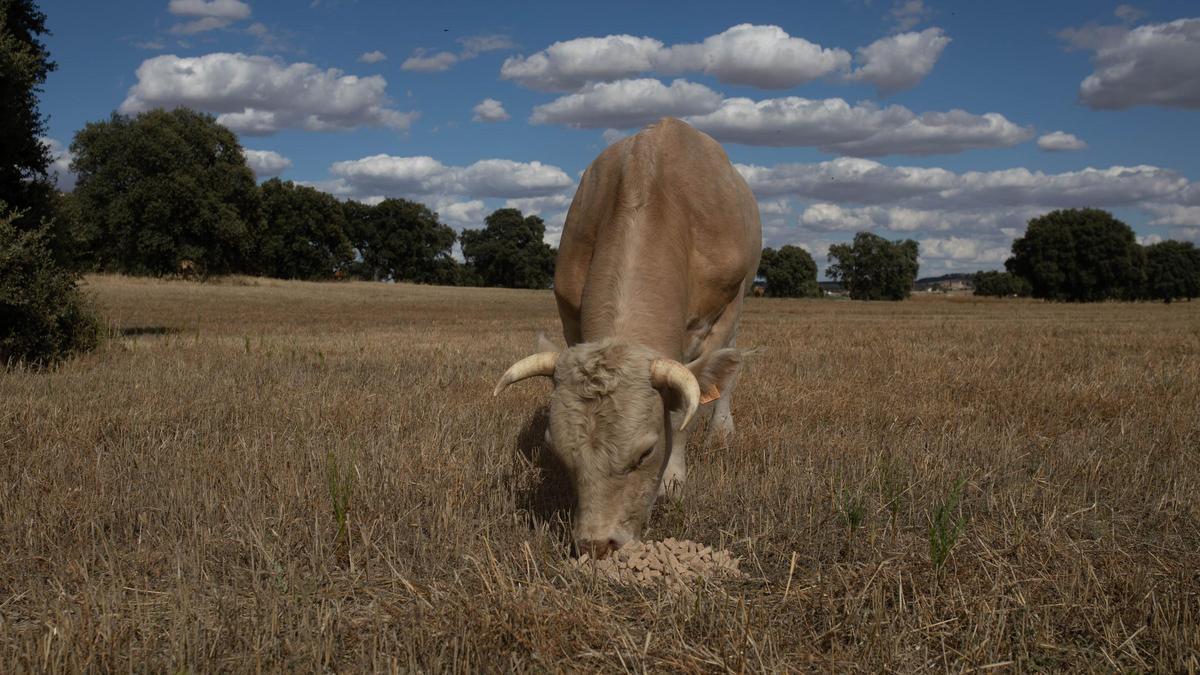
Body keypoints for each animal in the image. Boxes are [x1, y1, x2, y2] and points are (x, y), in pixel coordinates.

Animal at [494, 117, 758, 557]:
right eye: (559, 453)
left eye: (646, 452)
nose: (598, 544)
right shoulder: (570, 315)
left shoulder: (718, 317)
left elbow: (688, 408)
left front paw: (673, 479)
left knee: (728, 373)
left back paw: (722, 429)